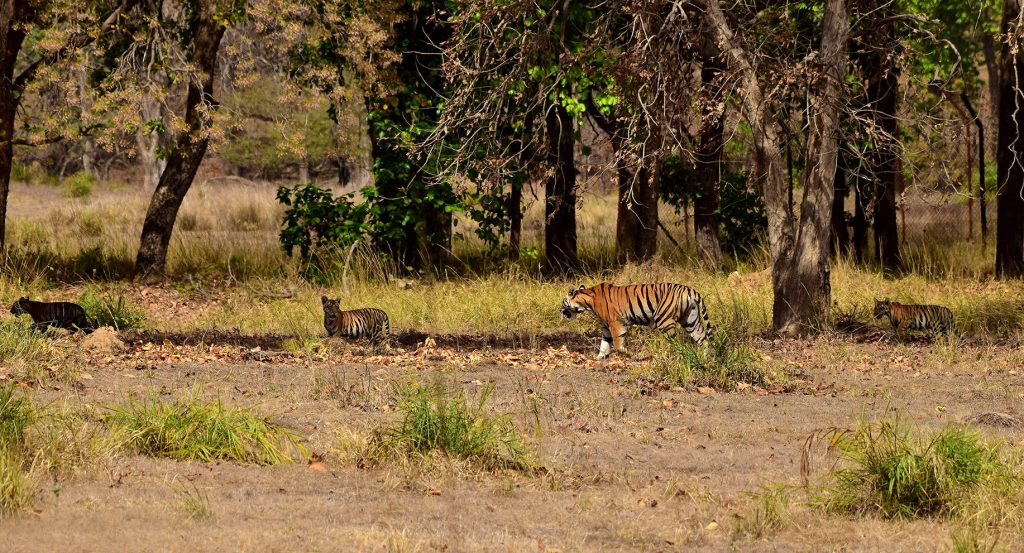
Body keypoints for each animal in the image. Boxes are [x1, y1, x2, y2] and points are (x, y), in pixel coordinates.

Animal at [561, 282, 712, 360]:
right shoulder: (605, 327)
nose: (561, 311)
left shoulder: (616, 323)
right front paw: (599, 358)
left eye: (563, 303)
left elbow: (618, 345)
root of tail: (690, 290)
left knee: (677, 343)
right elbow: (604, 343)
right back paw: (706, 358)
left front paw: (633, 355)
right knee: (703, 339)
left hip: (664, 320)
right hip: (690, 320)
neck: (587, 301)